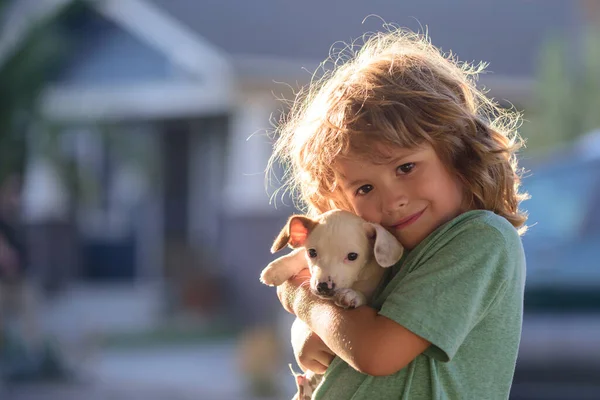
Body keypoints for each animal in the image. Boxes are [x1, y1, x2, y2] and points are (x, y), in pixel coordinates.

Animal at [258, 209, 404, 310]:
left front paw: (353, 295)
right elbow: (299, 253)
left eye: (352, 256)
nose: (323, 287)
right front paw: (276, 269)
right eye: (312, 252)